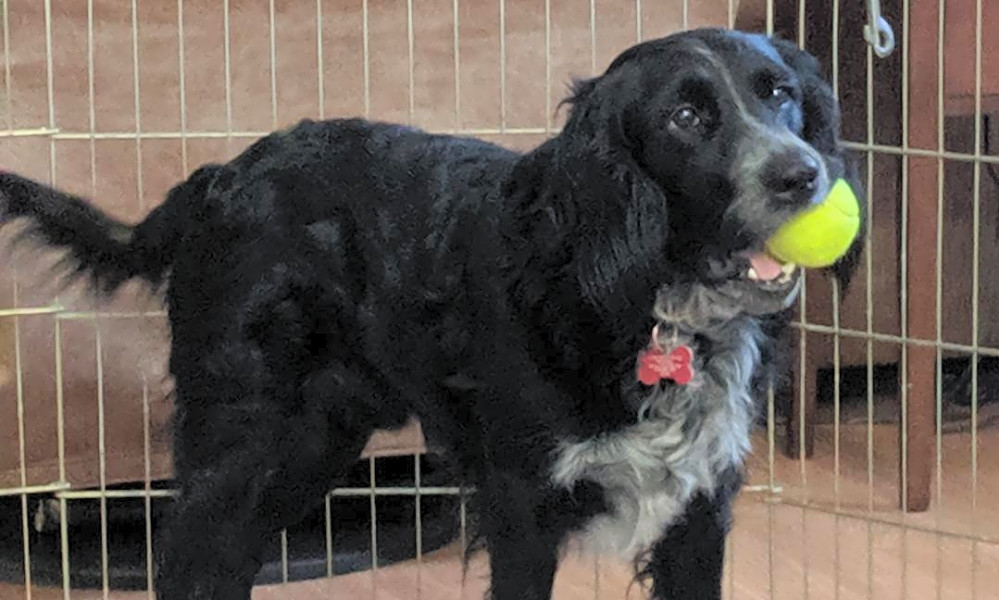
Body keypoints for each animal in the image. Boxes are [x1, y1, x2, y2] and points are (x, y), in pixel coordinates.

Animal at [0, 27, 860, 596]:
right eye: (685, 118)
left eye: (779, 93)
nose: (802, 176)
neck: (649, 304)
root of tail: (216, 176)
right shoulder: (523, 508)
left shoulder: (698, 510)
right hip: (242, 438)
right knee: (186, 558)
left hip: (306, 446)